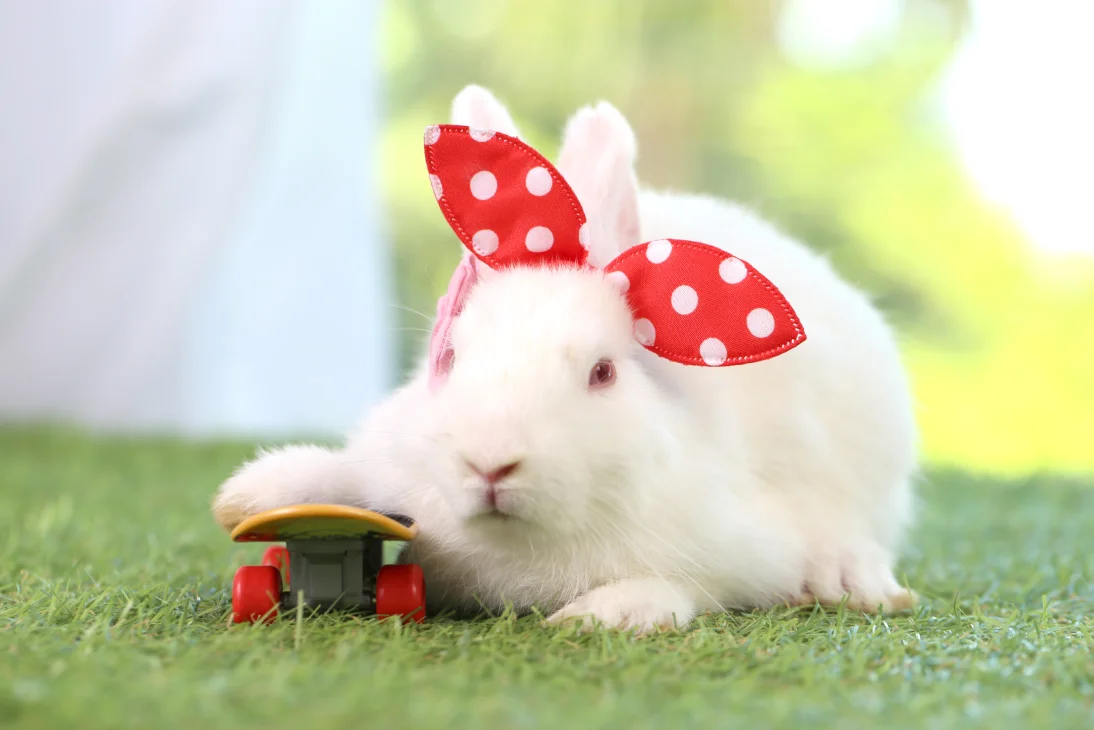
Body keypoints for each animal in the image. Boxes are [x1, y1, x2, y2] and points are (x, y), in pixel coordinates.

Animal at [213, 84, 918, 632]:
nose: (490, 463)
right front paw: (248, 495)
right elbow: (345, 479)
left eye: (602, 373)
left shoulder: (738, 548)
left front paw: (600, 616)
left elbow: (685, 587)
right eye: (450, 359)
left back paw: (854, 580)